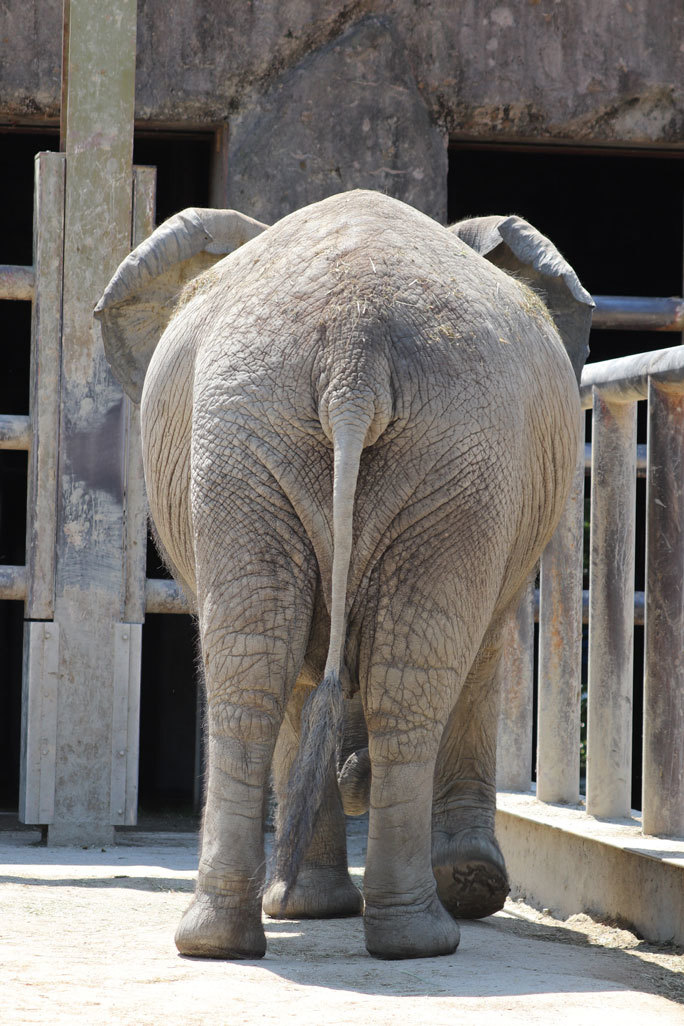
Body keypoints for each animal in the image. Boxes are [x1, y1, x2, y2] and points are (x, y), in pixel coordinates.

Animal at [96, 190, 594, 960]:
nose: (355, 774)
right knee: (347, 674)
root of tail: (352, 355)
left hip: (368, 447)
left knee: (267, 667)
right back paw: (394, 931)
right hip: (321, 442)